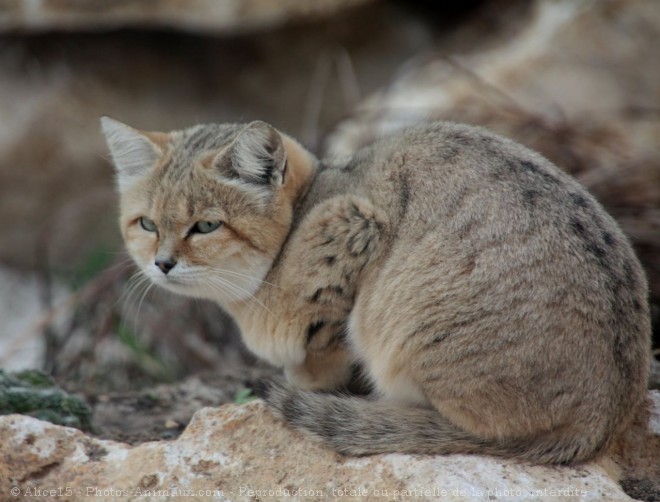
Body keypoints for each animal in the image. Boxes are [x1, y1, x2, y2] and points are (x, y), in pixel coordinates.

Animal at [102, 117, 648, 462]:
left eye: (207, 226)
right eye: (147, 223)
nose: (162, 264)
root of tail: (600, 420)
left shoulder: (352, 231)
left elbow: (321, 348)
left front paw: (305, 384)